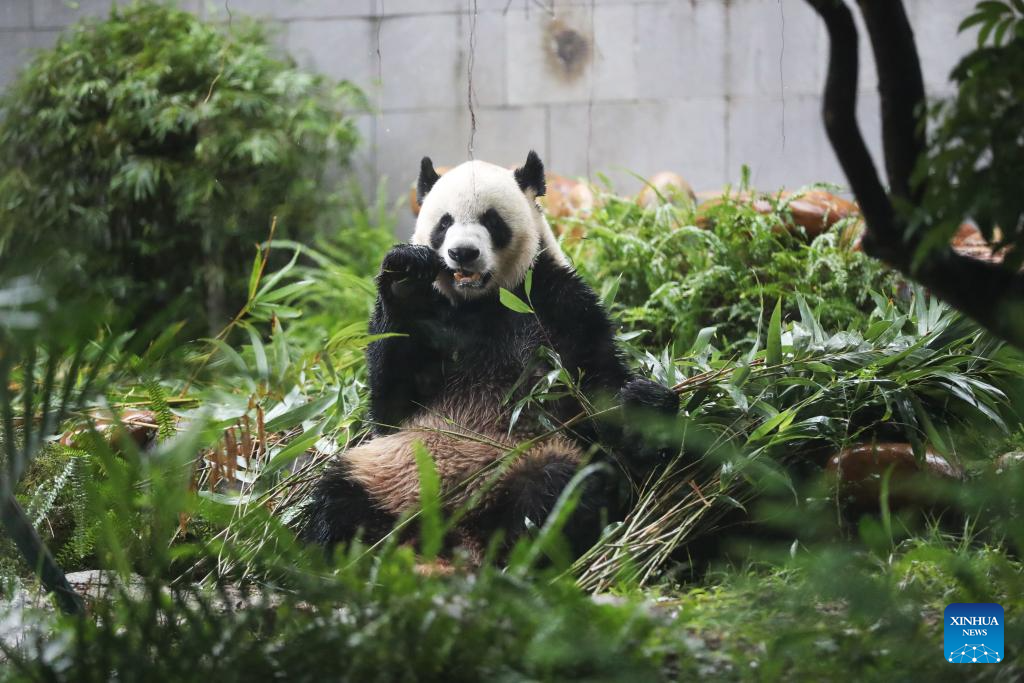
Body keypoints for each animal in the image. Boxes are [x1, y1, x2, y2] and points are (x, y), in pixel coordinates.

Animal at [299, 150, 679, 561]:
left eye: (491, 220)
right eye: (444, 222)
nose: (462, 252)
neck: (481, 302)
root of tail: (452, 525)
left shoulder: (557, 304)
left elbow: (598, 386)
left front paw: (647, 403)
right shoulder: (433, 321)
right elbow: (390, 404)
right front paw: (405, 276)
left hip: (524, 458)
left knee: (554, 493)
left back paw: (511, 553)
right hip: (390, 471)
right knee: (340, 501)